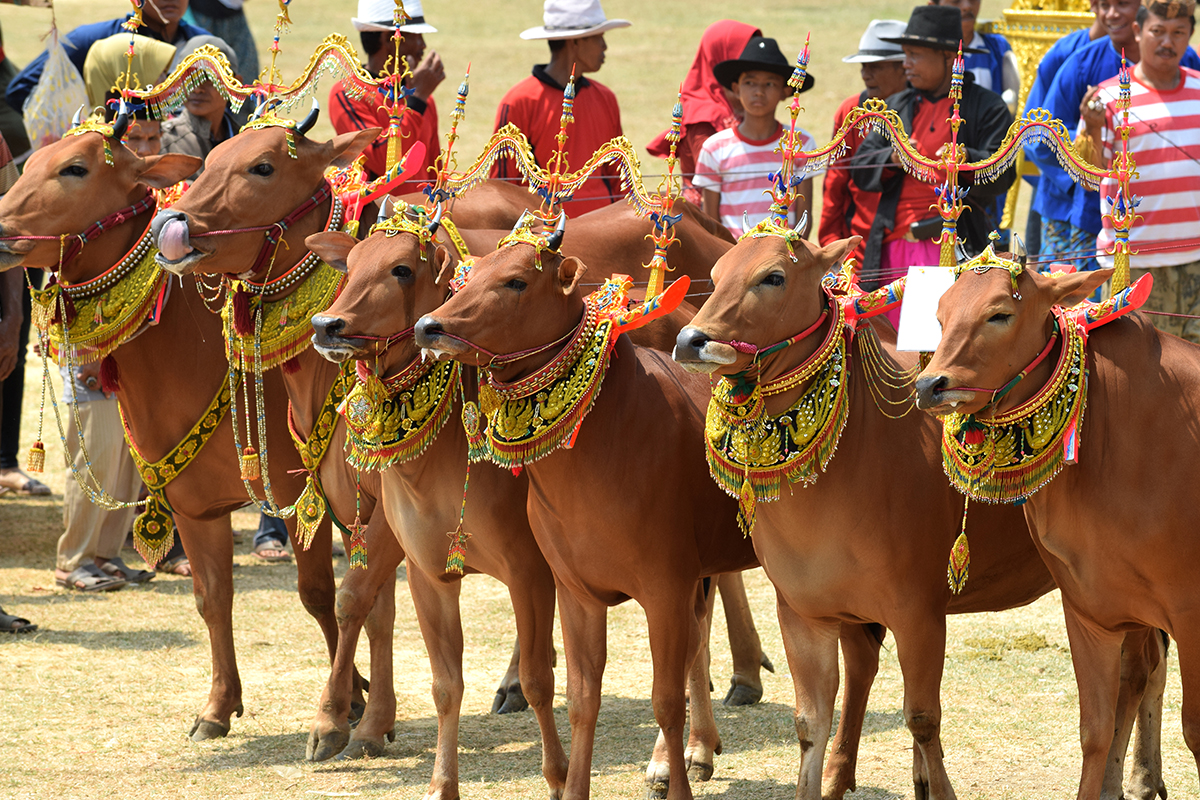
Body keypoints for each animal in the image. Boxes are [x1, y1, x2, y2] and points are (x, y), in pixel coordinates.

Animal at [0, 120, 376, 743]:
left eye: (75, 169)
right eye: (27, 164)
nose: (2, 227)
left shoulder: (301, 495)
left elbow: (321, 594)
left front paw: (346, 703)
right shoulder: (195, 506)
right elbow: (212, 599)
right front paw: (219, 706)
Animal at [415, 232, 758, 800]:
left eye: (516, 281)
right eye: (470, 273)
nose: (429, 326)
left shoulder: (665, 586)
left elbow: (664, 699)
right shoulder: (575, 590)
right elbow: (580, 698)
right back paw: (698, 749)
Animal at [672, 232, 1084, 800]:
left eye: (773, 276)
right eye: (715, 272)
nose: (691, 340)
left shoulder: (920, 614)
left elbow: (923, 717)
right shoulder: (805, 612)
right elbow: (810, 721)